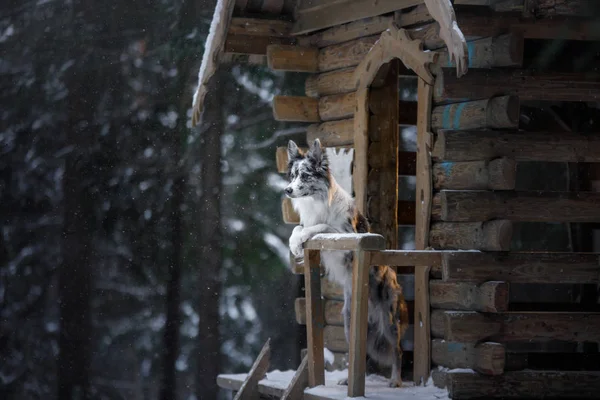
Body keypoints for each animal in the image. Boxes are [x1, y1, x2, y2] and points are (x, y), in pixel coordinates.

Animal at [284, 138, 408, 388]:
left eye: (305, 175)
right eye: (292, 175)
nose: (287, 190)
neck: (316, 202)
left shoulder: (345, 236)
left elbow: (321, 226)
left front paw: (303, 238)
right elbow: (297, 229)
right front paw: (295, 244)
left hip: (389, 319)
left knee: (398, 351)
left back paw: (395, 380)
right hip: (350, 322)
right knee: (360, 353)